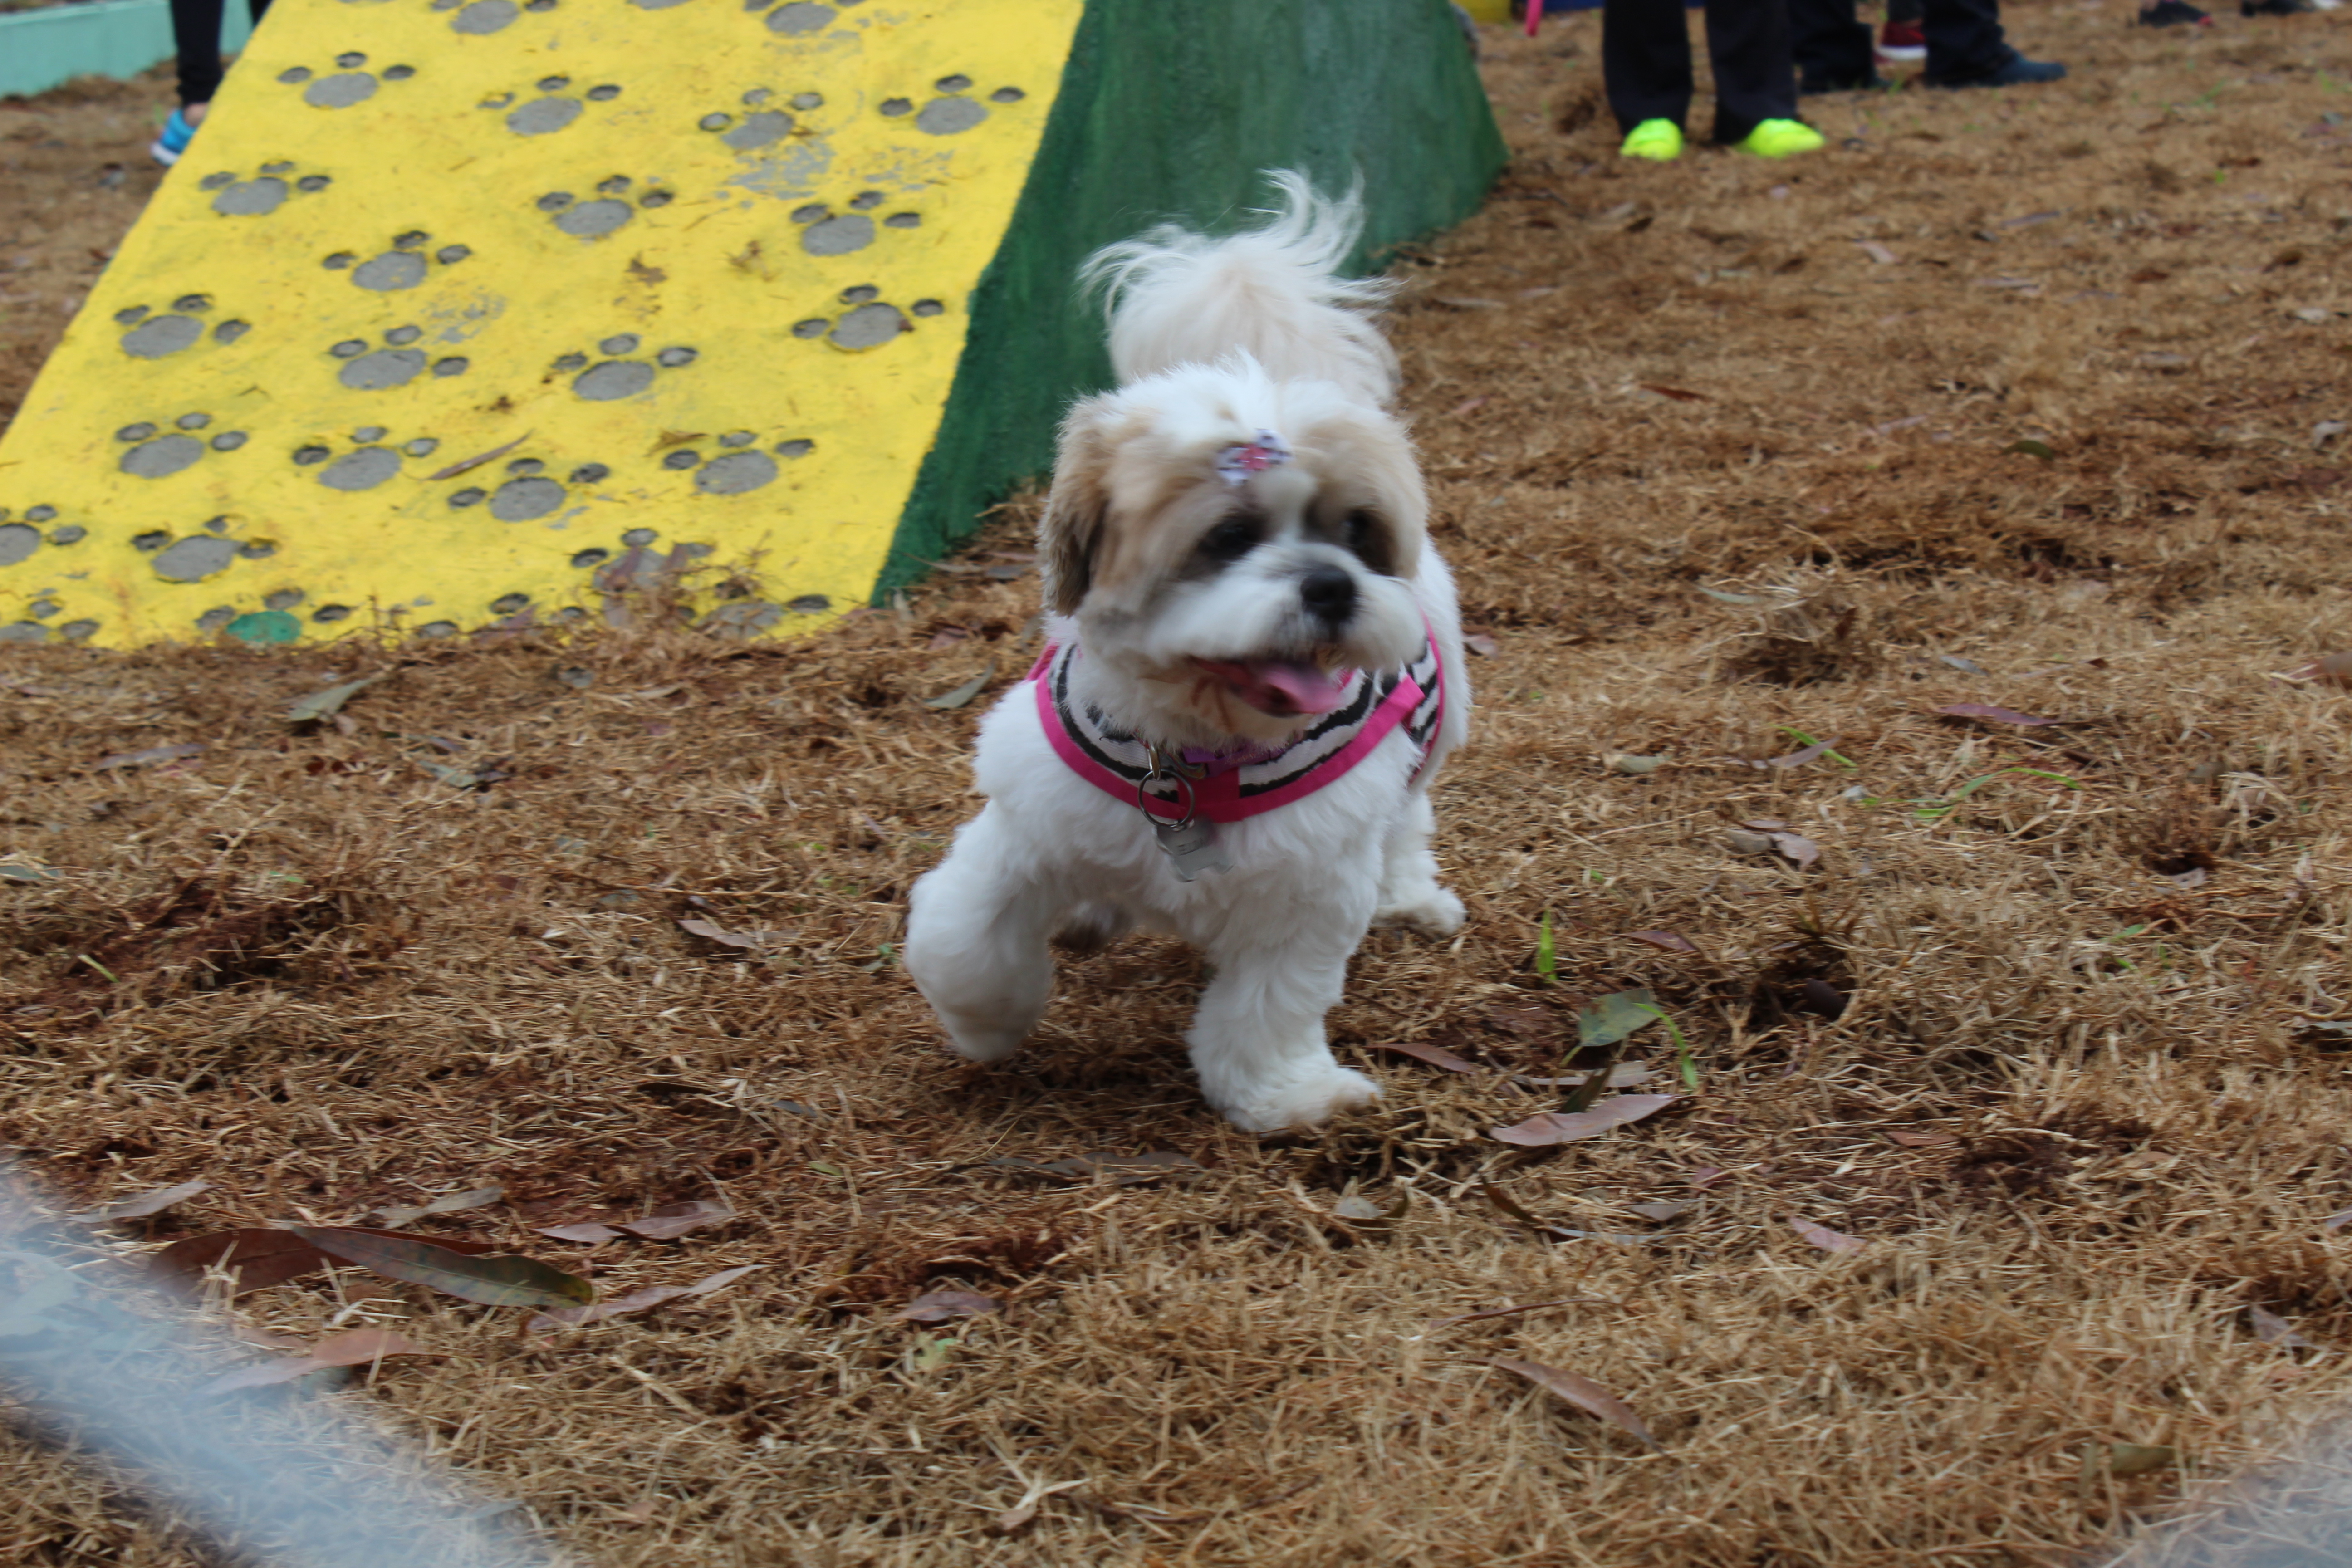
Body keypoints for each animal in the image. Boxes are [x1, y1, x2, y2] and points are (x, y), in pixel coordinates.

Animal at [903, 172, 1467, 1133]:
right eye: (1227, 536)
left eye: (1355, 532)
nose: (1332, 584)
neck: (1193, 755)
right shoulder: (1021, 836)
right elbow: (963, 939)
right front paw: (984, 1025)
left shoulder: (1307, 896)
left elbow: (1269, 1006)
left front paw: (1283, 1094)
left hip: (1423, 745)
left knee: (1404, 824)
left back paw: (1409, 896)